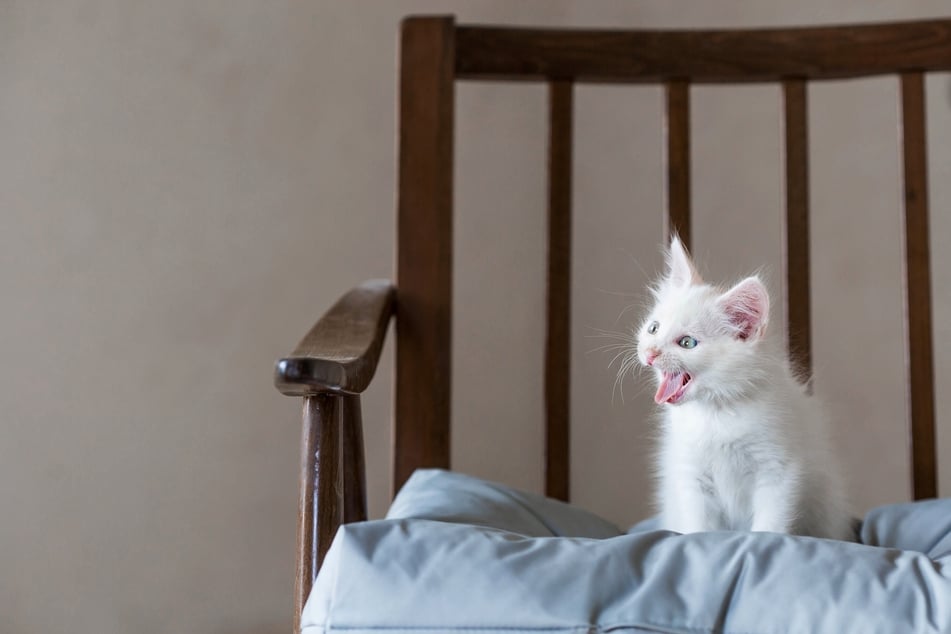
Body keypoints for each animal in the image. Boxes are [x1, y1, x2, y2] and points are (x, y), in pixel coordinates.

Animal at [632, 237, 856, 540]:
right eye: (653, 328)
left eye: (687, 343)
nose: (650, 353)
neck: (716, 411)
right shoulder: (691, 474)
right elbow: (698, 523)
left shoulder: (778, 469)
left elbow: (771, 522)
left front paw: (763, 542)